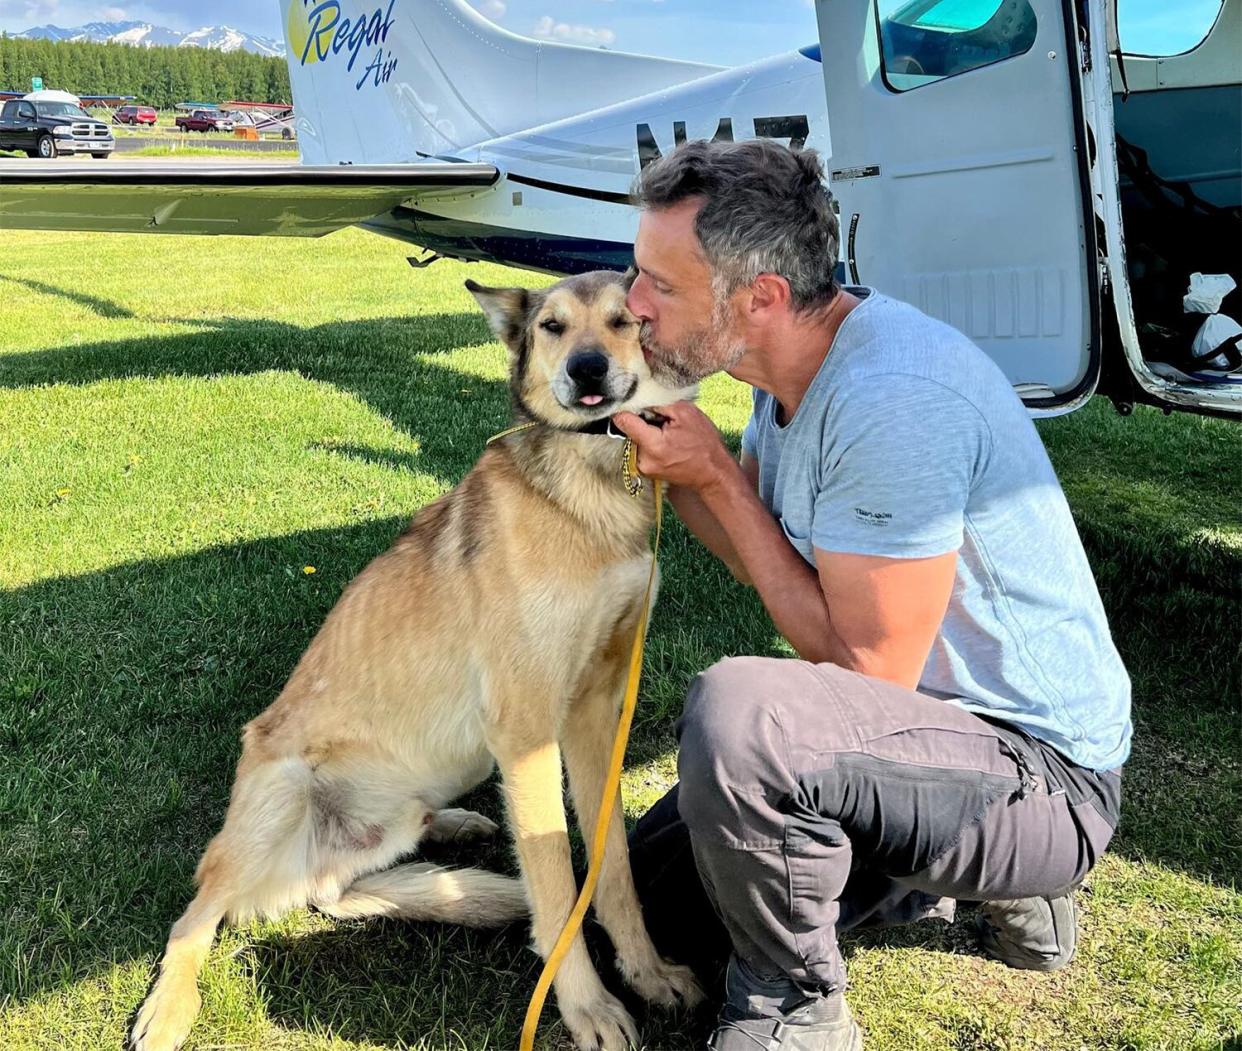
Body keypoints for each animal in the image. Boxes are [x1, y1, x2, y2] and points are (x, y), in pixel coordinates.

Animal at [133, 269, 710, 1051]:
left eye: (626, 321)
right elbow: (557, 883)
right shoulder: (526, 727)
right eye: (553, 326)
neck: (595, 480)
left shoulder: (597, 709)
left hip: (394, 816)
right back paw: (169, 1008)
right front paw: (588, 1008)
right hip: (277, 796)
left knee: (342, 890)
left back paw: (462, 850)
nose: (586, 369)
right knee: (195, 917)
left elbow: (610, 864)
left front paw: (648, 974)